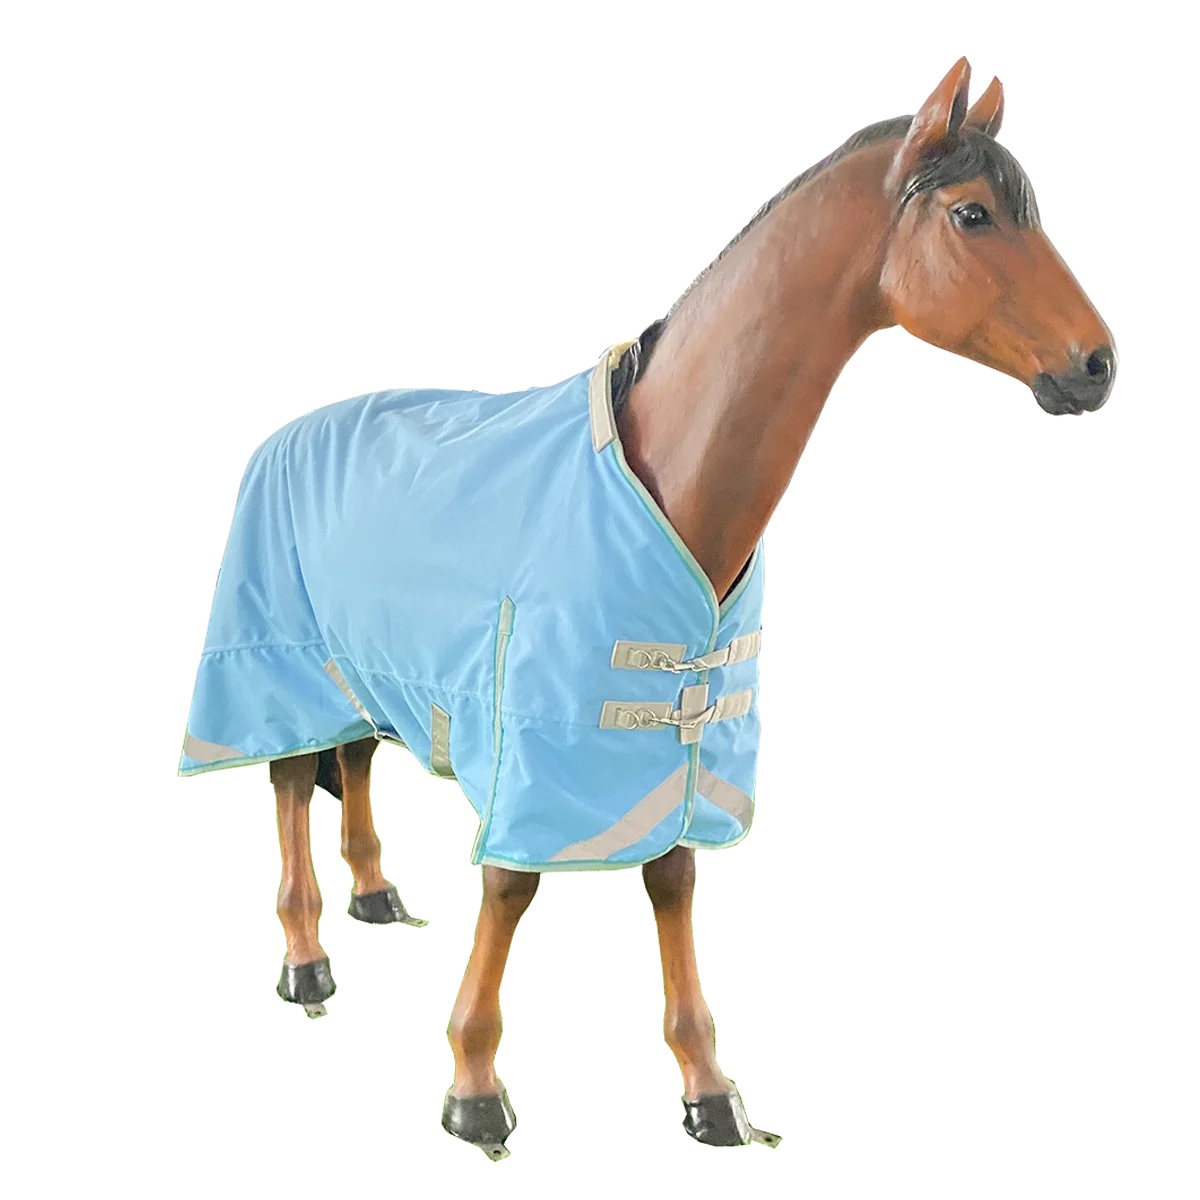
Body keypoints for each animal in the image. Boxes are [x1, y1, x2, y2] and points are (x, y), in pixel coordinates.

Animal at [179, 58, 1116, 1157]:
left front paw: (709, 1092)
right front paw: (476, 1087)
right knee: (290, 779)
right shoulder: (538, 730)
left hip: (360, 665)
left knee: (355, 762)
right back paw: (308, 959)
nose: (1098, 364)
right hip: (281, 660)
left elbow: (670, 882)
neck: (672, 464)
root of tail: (288, 432)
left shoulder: (686, 727)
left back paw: (375, 901)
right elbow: (510, 883)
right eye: (972, 214)